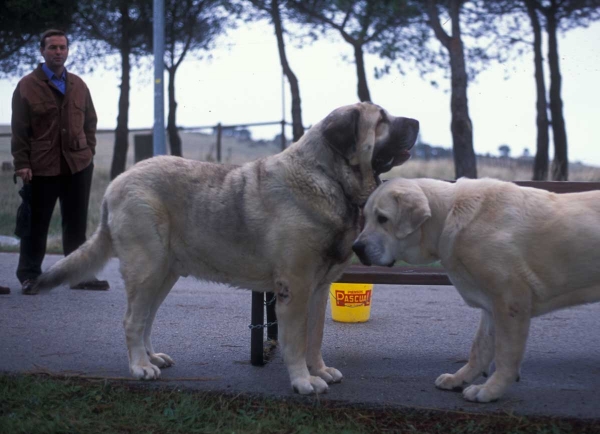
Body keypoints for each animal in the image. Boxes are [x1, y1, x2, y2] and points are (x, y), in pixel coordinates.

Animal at [354, 177, 600, 404]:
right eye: (366, 217)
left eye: (383, 218)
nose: (356, 247)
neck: (447, 217)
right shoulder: (491, 306)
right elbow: (479, 348)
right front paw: (459, 379)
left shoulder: (510, 301)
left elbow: (505, 353)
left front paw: (491, 390)